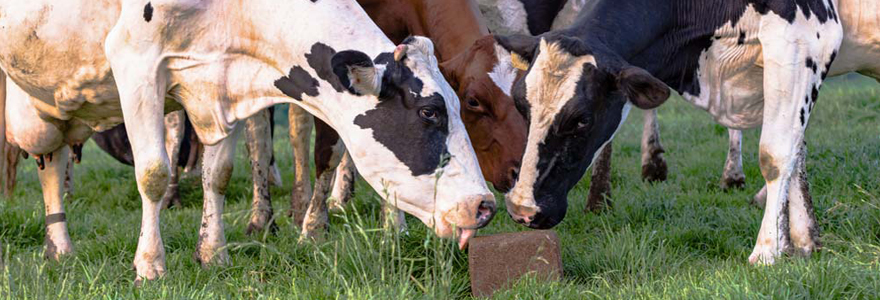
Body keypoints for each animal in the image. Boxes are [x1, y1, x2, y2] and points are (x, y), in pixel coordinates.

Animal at [0, 0, 496, 282]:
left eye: (461, 105)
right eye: (430, 111)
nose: (485, 205)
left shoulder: (220, 86)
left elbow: (218, 175)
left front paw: (213, 254)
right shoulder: (136, 62)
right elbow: (154, 174)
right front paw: (150, 265)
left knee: (50, 159)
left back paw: (58, 250)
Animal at [498, 0, 876, 264]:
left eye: (581, 120)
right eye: (520, 104)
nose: (521, 208)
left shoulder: (804, 37)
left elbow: (776, 153)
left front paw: (767, 251)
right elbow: (797, 148)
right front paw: (804, 240)